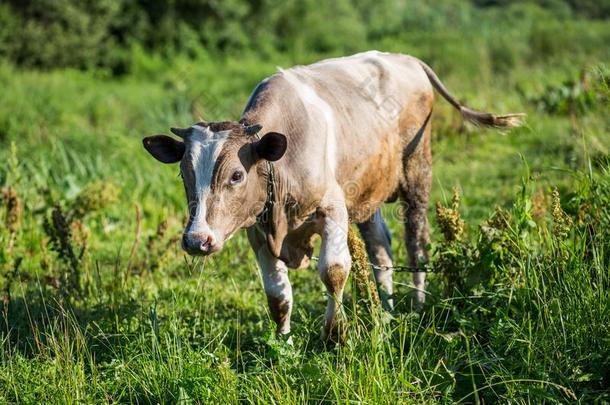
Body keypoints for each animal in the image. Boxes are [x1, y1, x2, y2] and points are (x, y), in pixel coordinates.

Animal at [142, 51, 524, 340]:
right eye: (184, 174)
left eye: (236, 175)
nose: (197, 239)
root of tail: (405, 58)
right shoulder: (257, 229)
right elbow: (277, 295)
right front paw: (283, 345)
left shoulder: (333, 209)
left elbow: (335, 270)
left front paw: (334, 334)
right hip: (368, 191)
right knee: (381, 249)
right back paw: (386, 313)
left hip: (418, 171)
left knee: (417, 242)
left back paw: (418, 305)